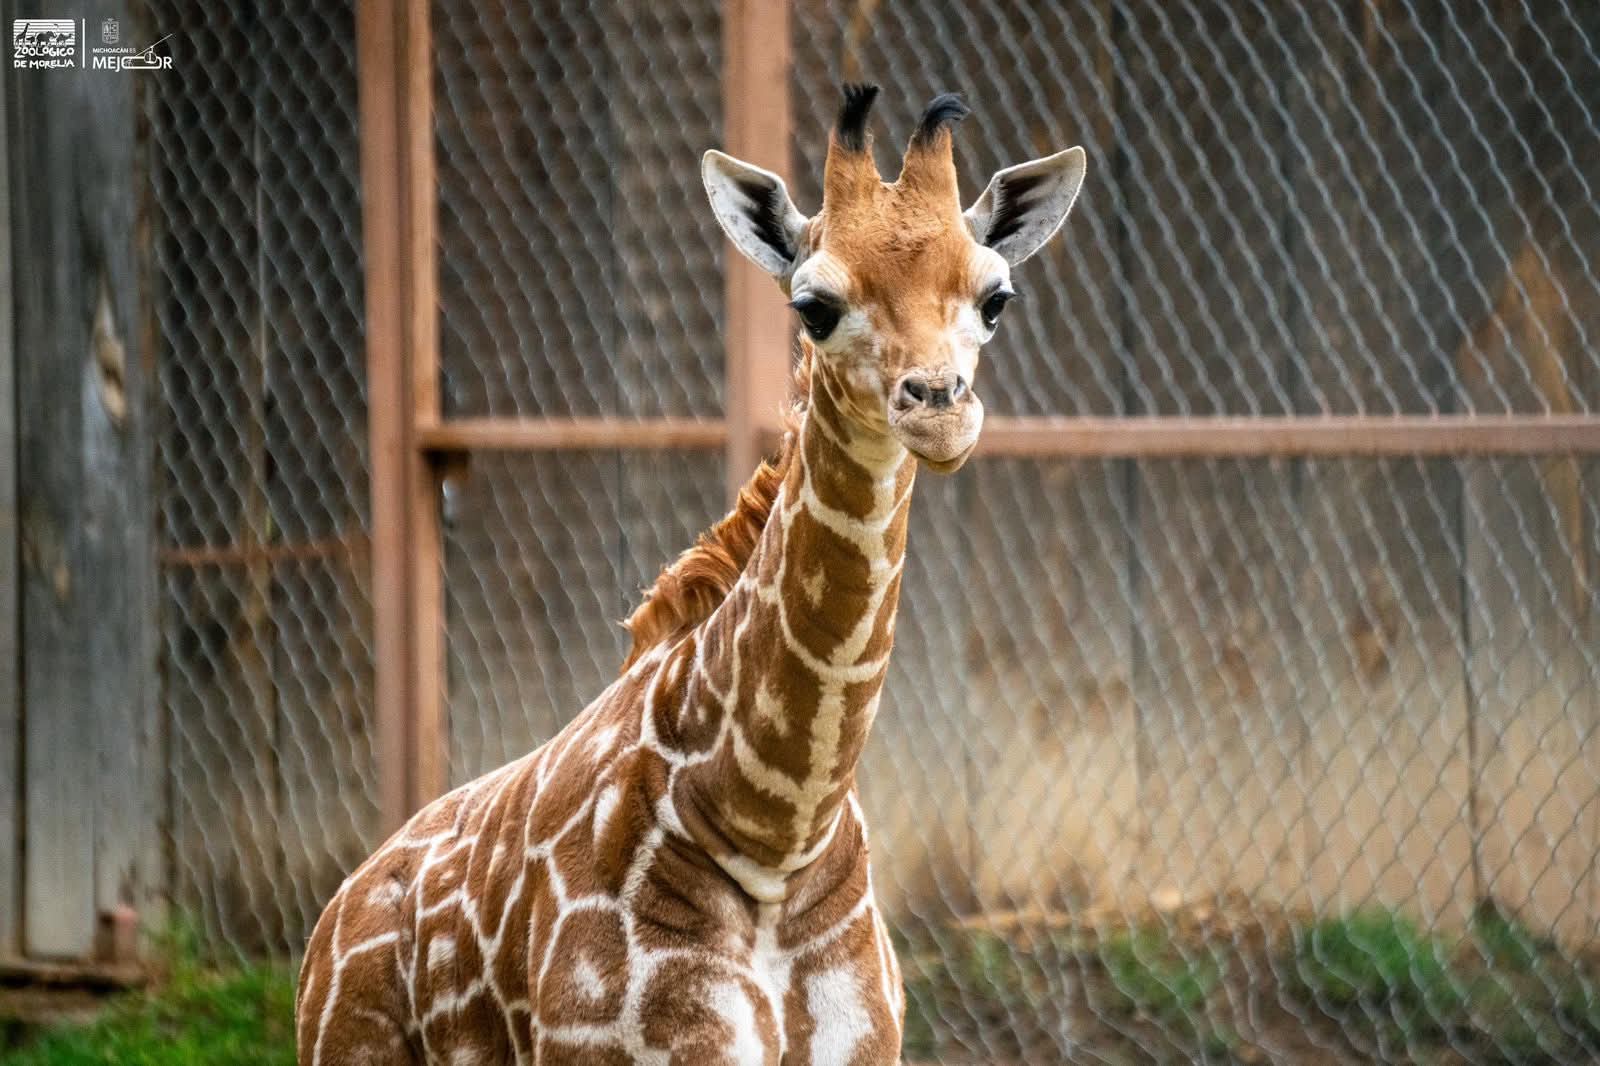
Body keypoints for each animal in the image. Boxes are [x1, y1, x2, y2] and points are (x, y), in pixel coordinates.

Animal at [295, 84, 1085, 1065]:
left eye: (995, 297)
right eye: (814, 306)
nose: (939, 410)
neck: (773, 832)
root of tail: (327, 925)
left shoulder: (864, 1043)